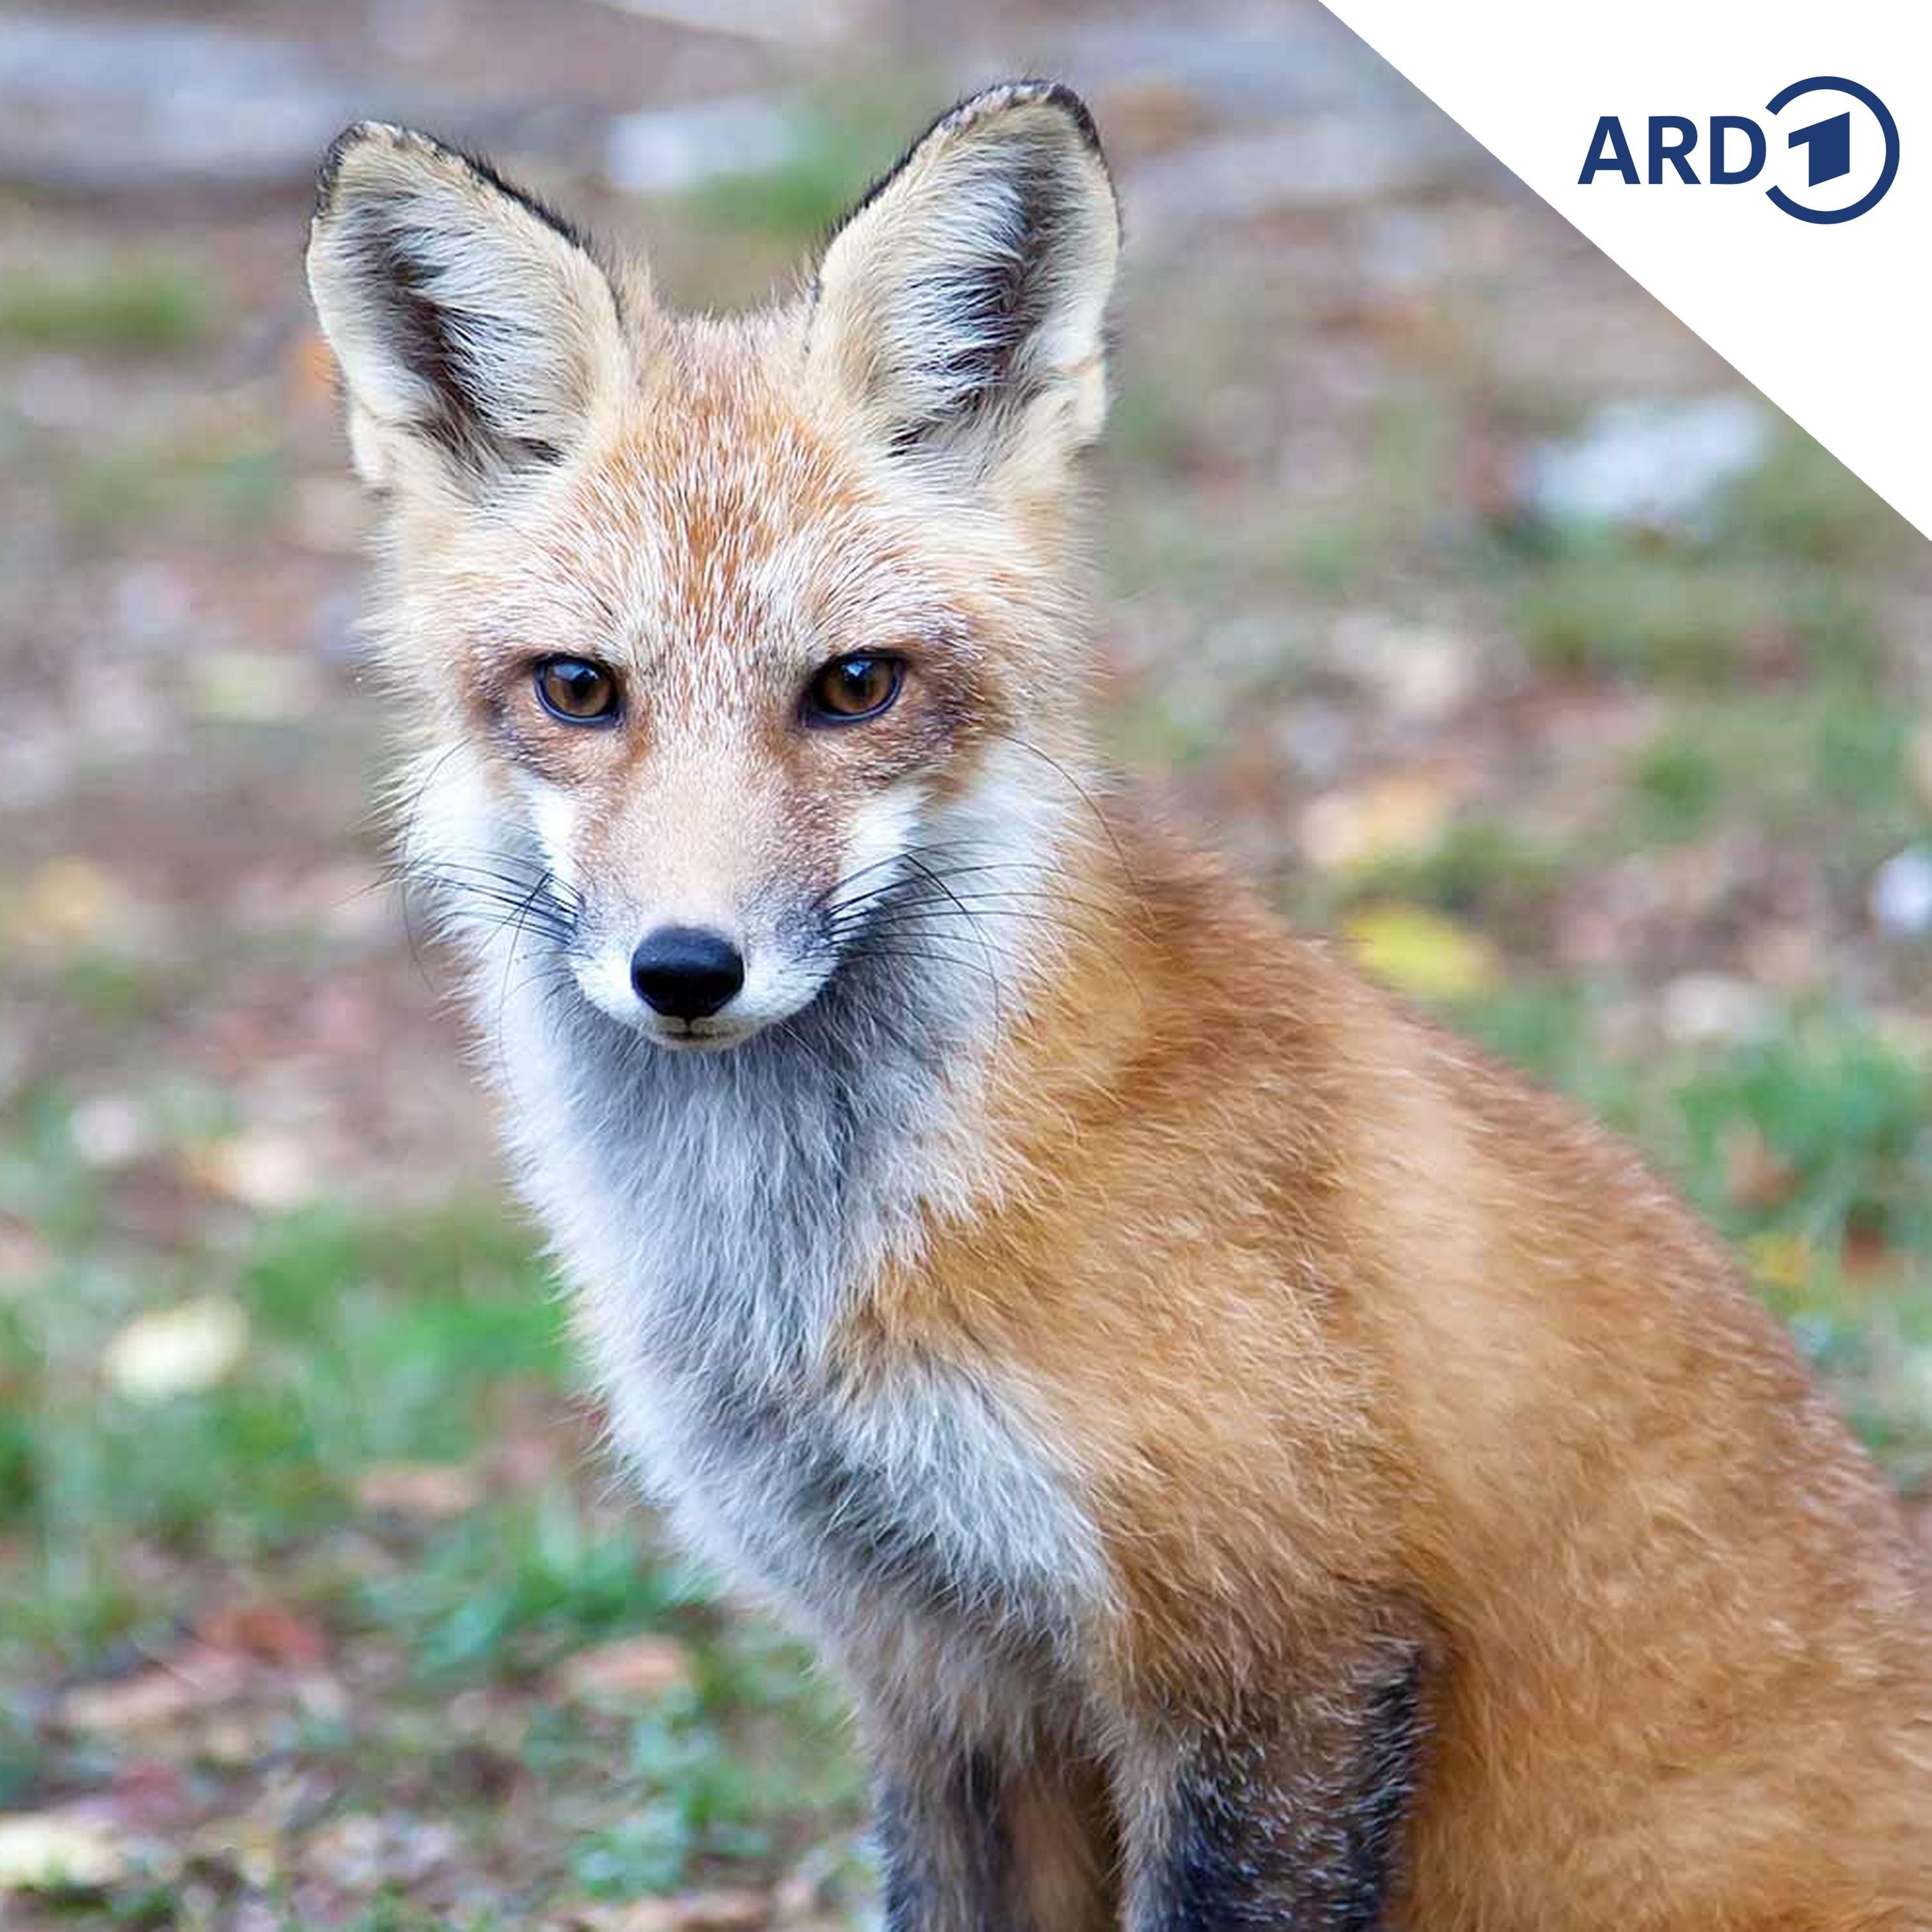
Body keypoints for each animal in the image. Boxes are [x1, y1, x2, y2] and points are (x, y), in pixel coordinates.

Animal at [305, 81, 1932, 1931]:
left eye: (854, 688)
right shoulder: (939, 1678)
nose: (687, 968)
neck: (810, 1269)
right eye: (579, 691)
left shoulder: (1279, 1657)